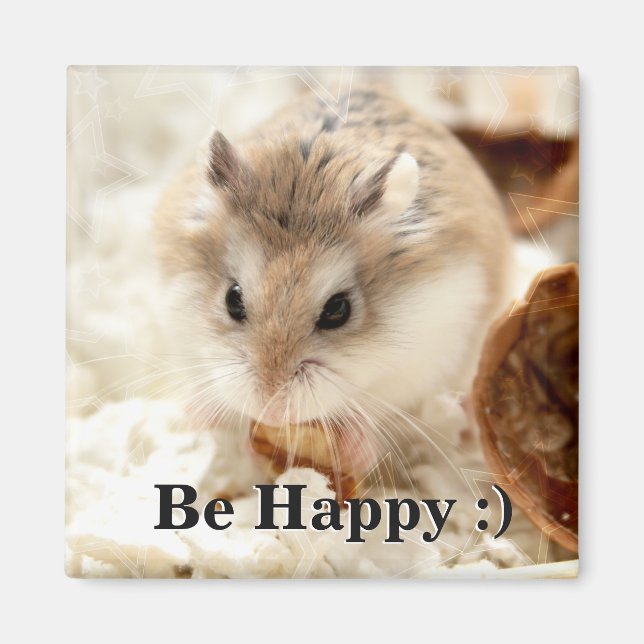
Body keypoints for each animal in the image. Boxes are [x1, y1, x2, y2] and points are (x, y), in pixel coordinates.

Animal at [154, 86, 514, 482]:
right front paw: (202, 418)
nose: (271, 410)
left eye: (338, 310)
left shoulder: (429, 357)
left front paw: (354, 448)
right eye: (233, 299)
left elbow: (377, 410)